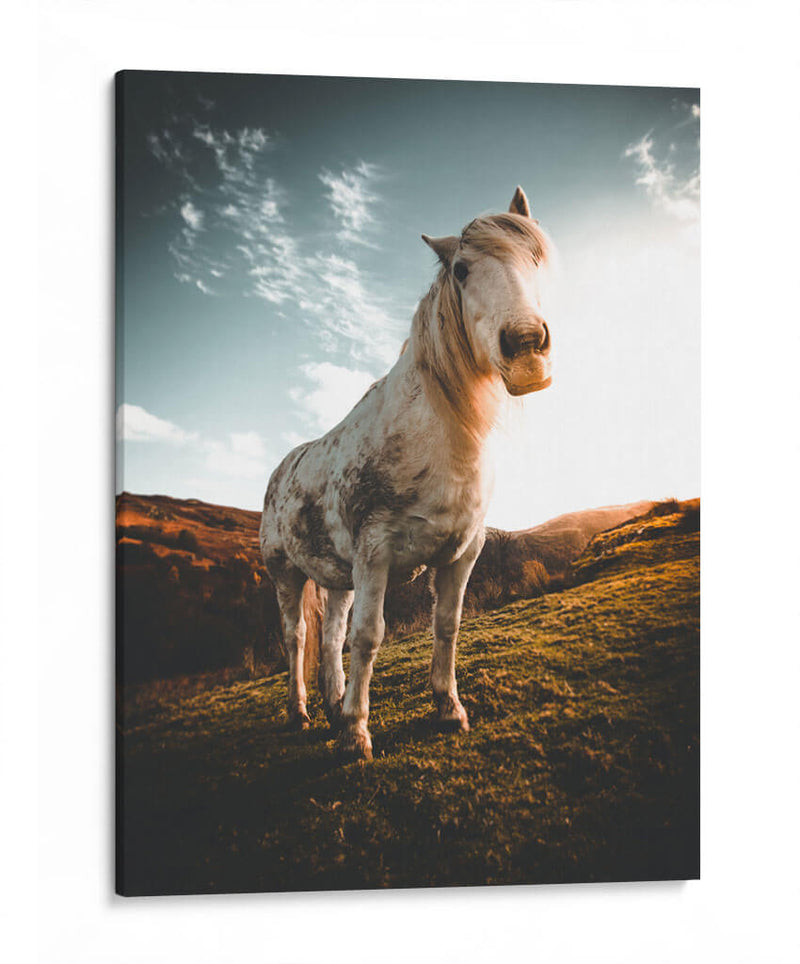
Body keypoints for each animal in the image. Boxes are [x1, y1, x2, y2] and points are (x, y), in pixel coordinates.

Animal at [260, 186, 553, 760]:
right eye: (461, 270)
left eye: (536, 258)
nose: (526, 346)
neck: (437, 437)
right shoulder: (376, 554)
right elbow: (369, 637)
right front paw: (357, 735)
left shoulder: (463, 553)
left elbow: (447, 625)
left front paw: (448, 709)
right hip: (285, 572)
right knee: (296, 637)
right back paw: (302, 711)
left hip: (337, 576)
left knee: (330, 634)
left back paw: (332, 704)